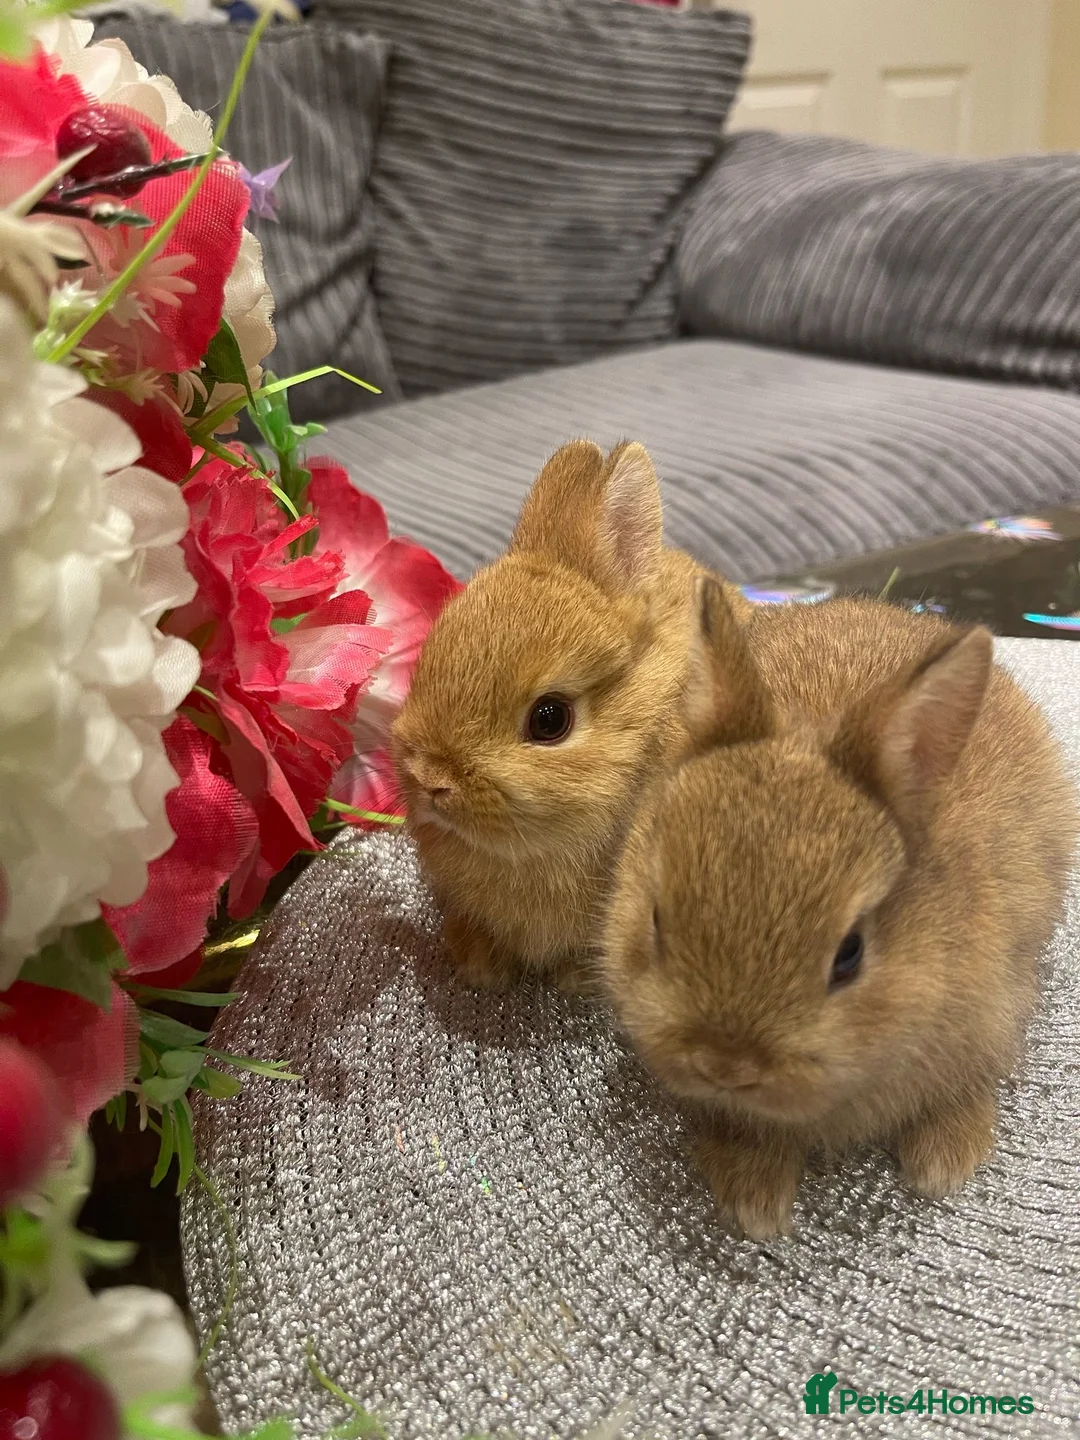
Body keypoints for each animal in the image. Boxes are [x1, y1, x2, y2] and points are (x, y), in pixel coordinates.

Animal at [601, 578, 1078, 1239]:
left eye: (850, 954)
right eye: (655, 921)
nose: (726, 1065)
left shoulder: (992, 1011)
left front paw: (943, 1164)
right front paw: (753, 1198)